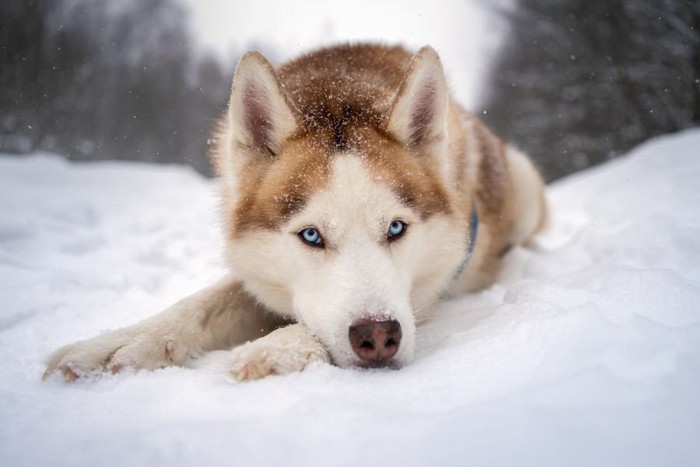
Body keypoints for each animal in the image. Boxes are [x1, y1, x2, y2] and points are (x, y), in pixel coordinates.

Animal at [43, 44, 548, 382]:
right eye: (311, 236)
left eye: (396, 228)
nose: (378, 337)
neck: (340, 89)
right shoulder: (255, 266)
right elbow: (204, 303)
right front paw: (120, 342)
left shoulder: (427, 290)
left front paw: (279, 345)